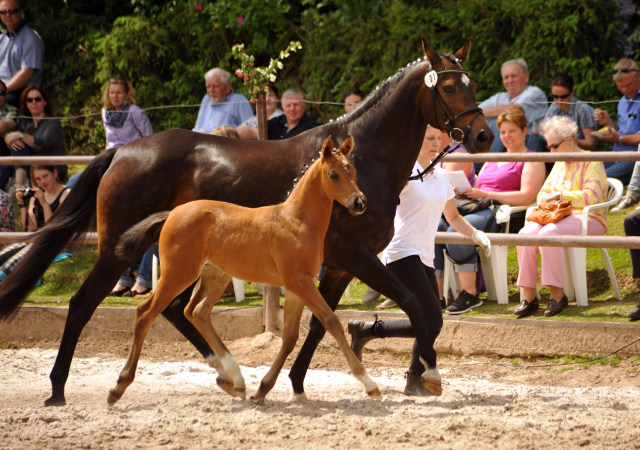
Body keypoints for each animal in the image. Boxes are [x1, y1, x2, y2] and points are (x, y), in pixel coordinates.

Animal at [105, 135, 378, 406]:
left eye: (352, 171)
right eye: (333, 174)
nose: (360, 202)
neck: (296, 221)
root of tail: (173, 213)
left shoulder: (296, 286)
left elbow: (290, 337)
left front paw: (263, 389)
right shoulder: (301, 282)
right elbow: (331, 321)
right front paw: (370, 384)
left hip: (215, 276)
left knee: (197, 312)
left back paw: (234, 380)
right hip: (178, 274)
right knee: (146, 313)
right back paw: (119, 386)